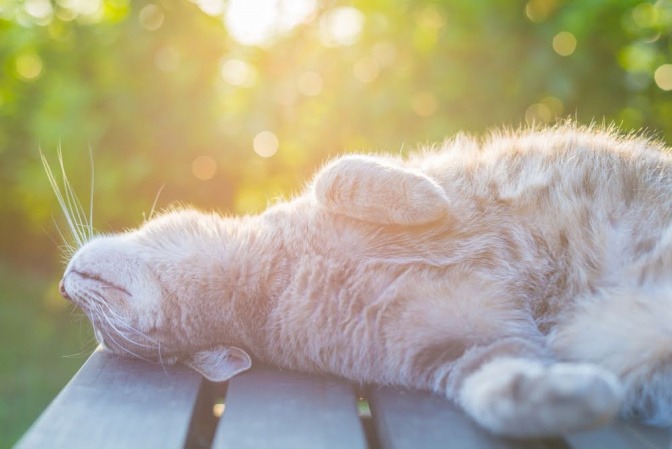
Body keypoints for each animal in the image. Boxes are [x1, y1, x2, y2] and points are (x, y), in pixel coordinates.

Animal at [53, 124, 672, 436]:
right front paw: (581, 396)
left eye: (101, 326)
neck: (273, 283)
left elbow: (336, 172)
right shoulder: (461, 345)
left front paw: (424, 197)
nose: (62, 290)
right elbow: (497, 387)